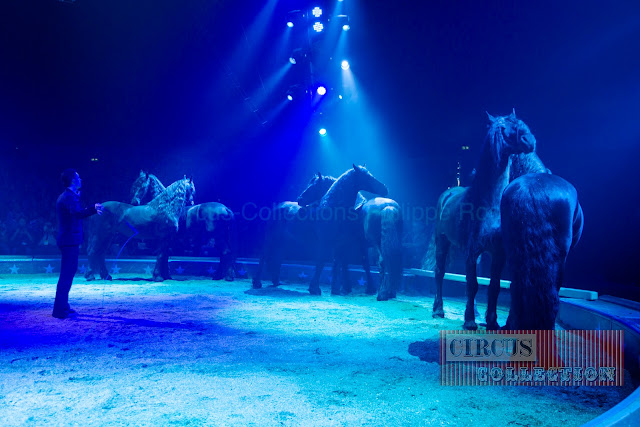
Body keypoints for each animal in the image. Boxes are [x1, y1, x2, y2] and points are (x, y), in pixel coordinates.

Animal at [308, 166, 388, 296]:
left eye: (312, 186)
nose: (299, 199)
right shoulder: (342, 245)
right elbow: (341, 263)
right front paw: (343, 287)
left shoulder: (342, 244)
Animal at [436, 111, 536, 332]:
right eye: (503, 128)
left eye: (521, 122)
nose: (530, 141)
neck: (489, 205)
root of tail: (448, 192)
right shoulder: (472, 252)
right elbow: (472, 285)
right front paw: (469, 321)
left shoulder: (498, 254)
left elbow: (494, 286)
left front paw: (492, 321)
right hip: (442, 241)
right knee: (439, 272)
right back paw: (438, 309)